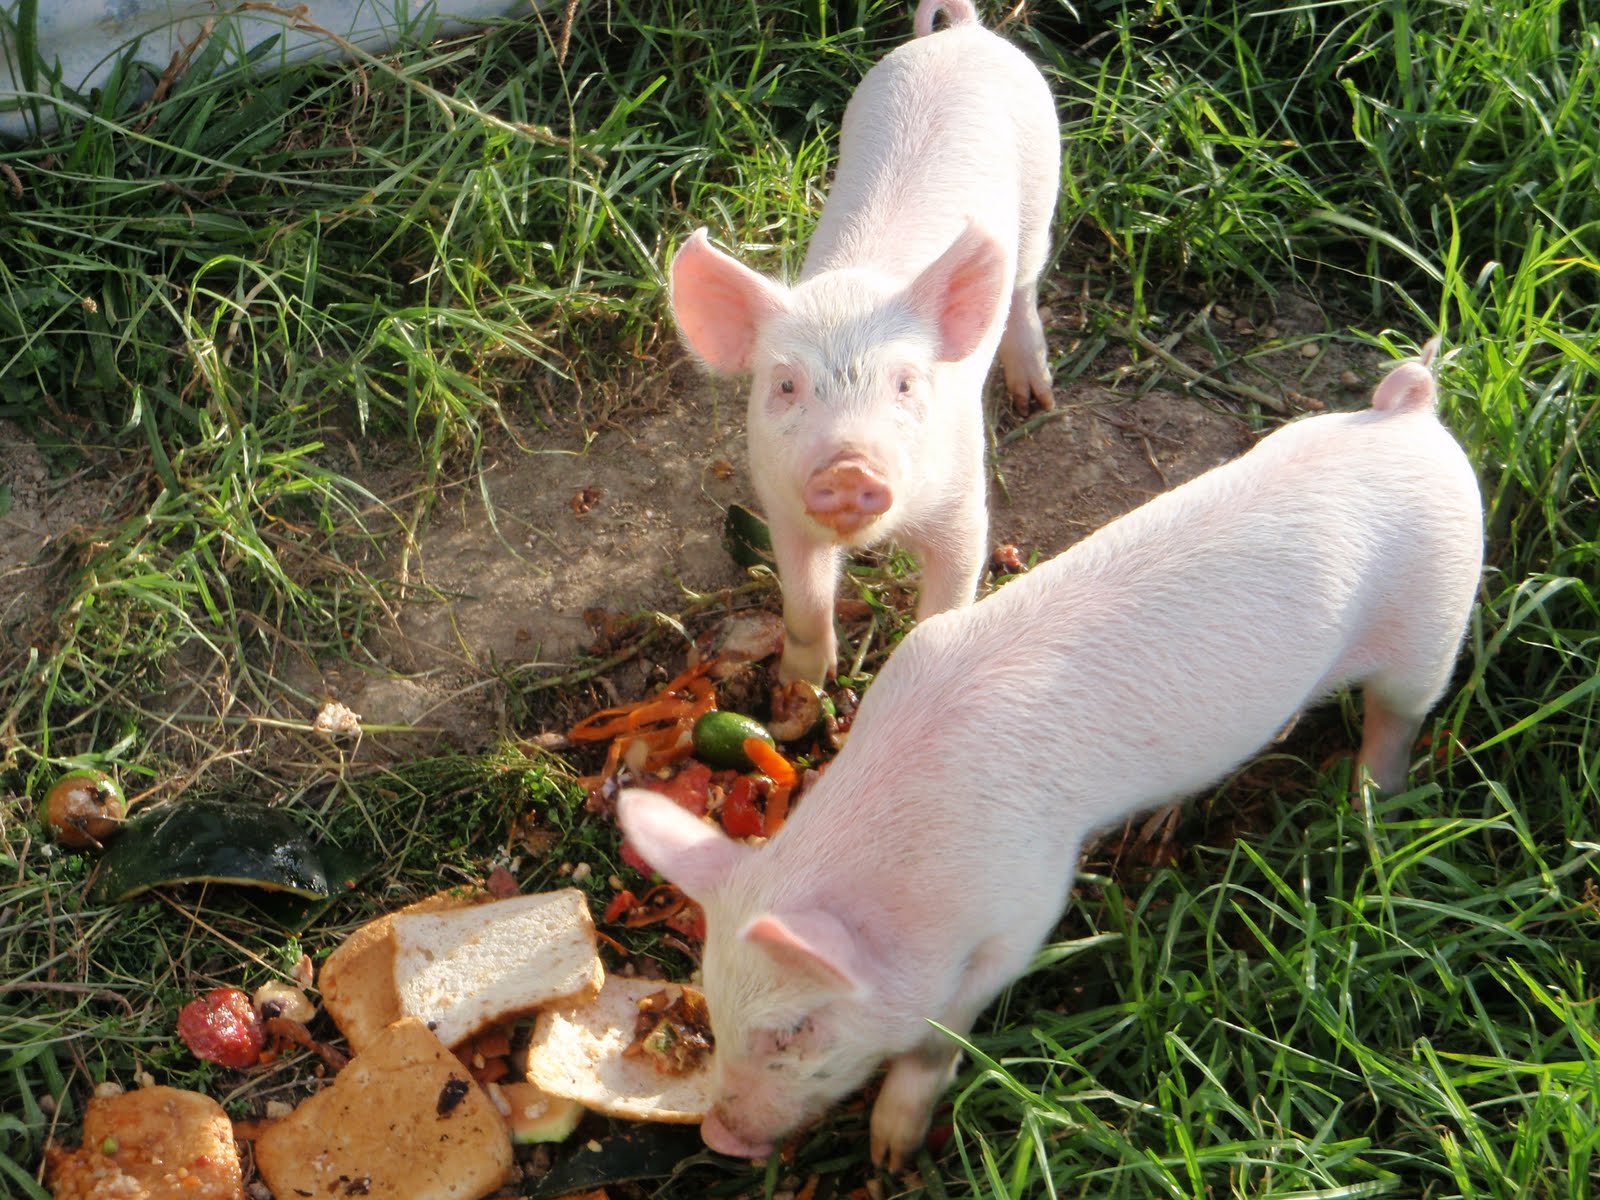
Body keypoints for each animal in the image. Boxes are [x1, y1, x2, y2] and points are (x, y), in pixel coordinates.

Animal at [619, 343, 1483, 1167]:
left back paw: (1370, 814)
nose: (720, 1137)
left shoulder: (1025, 908)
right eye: (715, 1003)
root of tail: (1407, 415)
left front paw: (892, 1151)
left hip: (1437, 616)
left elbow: (942, 1033)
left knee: (1396, 720)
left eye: (795, 1030)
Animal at [668, 0, 1061, 685]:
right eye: (786, 384)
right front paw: (802, 687)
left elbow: (950, 595)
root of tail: (965, 34)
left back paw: (1035, 398)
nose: (849, 466)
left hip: (1043, 185)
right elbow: (803, 602)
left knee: (1023, 287)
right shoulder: (779, 504)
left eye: (904, 383)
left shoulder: (964, 502)